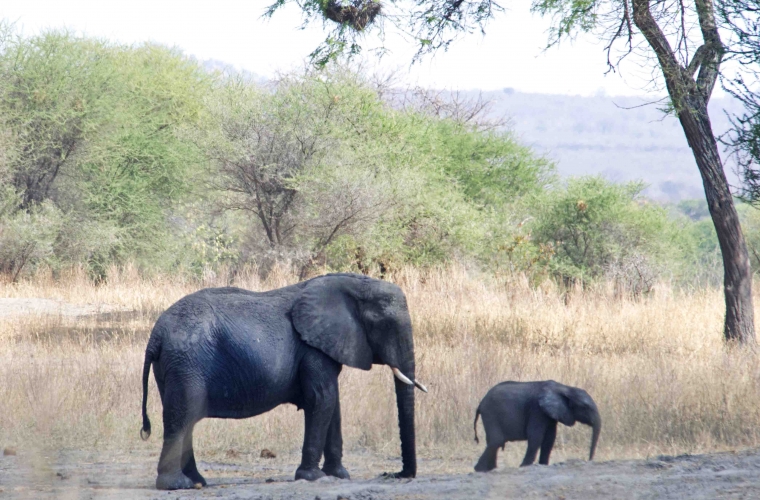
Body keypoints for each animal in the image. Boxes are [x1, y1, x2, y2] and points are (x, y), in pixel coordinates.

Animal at [139, 274, 424, 488]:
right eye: (384, 324)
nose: (394, 474)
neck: (352, 283)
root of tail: (156, 334)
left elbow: (333, 403)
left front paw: (339, 475)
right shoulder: (312, 350)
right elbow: (322, 399)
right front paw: (313, 477)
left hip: (174, 366)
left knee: (185, 417)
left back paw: (198, 482)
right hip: (186, 362)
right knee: (182, 416)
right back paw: (177, 485)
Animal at [472, 380, 604, 470]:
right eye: (585, 407)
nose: (589, 460)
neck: (564, 388)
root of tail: (480, 403)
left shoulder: (550, 414)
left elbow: (549, 439)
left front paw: (543, 464)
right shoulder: (537, 410)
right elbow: (536, 437)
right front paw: (524, 466)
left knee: (494, 443)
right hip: (490, 413)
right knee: (497, 441)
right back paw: (479, 470)